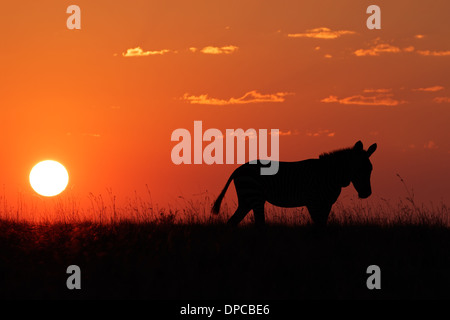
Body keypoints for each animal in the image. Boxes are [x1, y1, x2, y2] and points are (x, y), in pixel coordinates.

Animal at [211, 141, 376, 228]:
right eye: (359, 169)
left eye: (370, 169)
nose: (366, 193)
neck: (329, 174)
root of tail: (238, 169)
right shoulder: (313, 201)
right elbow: (318, 225)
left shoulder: (327, 203)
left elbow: (323, 224)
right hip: (255, 196)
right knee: (258, 223)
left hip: (246, 200)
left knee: (232, 222)